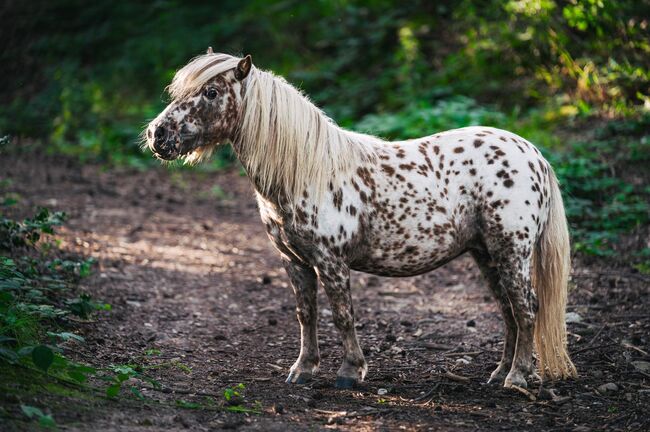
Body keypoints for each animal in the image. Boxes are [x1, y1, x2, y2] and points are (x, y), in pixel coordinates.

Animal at [144, 51, 576, 392]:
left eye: (211, 92)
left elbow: (342, 314)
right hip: (486, 254)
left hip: (511, 251)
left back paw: (517, 378)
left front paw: (350, 372)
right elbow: (306, 314)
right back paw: (500, 373)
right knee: (509, 311)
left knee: (526, 308)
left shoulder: (331, 261)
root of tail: (533, 154)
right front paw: (303, 370)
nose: (157, 134)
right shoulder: (295, 262)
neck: (306, 170)